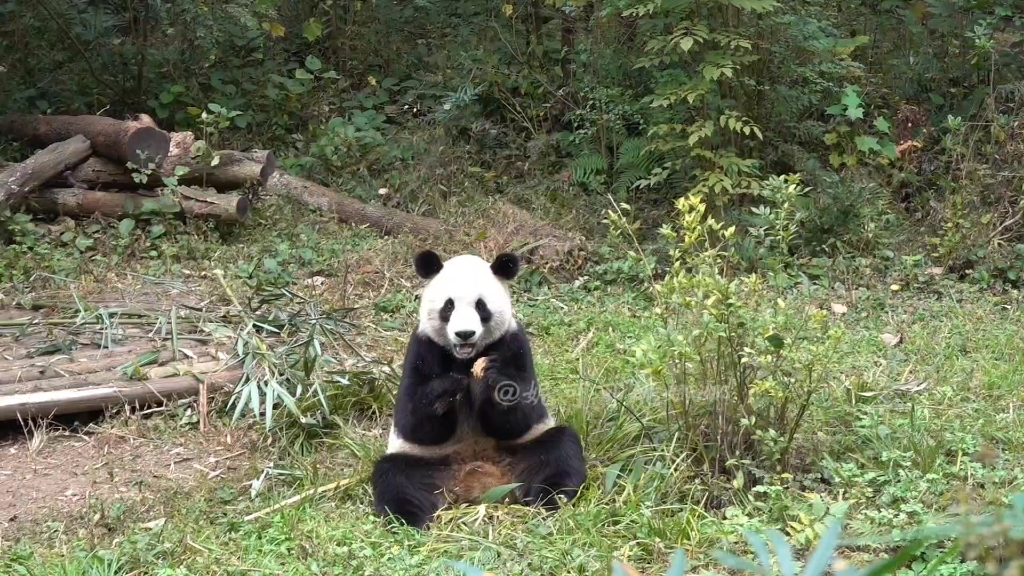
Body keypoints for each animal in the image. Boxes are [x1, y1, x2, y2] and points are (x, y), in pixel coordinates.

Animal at [372, 249, 589, 528]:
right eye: (449, 306)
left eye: (480, 306)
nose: (464, 333)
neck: (466, 358)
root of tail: (478, 481)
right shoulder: (422, 348)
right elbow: (413, 422)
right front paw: (447, 387)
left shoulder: (514, 344)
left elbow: (523, 417)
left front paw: (493, 379)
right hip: (428, 463)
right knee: (395, 475)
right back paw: (408, 518)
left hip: (523, 451)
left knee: (559, 448)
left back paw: (552, 498)